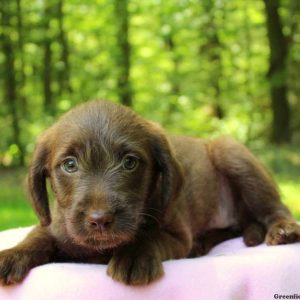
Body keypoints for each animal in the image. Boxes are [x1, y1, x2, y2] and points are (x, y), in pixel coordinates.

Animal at [0, 101, 300, 286]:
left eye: (130, 162)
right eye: (70, 165)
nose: (100, 220)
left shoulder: (177, 235)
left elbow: (149, 236)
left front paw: (133, 255)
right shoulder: (56, 224)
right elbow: (37, 237)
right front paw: (13, 254)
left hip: (231, 152)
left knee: (275, 207)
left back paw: (284, 229)